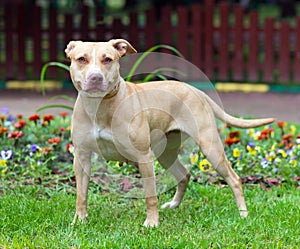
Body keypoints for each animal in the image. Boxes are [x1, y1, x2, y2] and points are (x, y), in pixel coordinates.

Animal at [65, 38, 274, 227]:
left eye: (107, 59)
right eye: (81, 59)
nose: (95, 77)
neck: (100, 106)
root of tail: (196, 90)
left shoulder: (143, 157)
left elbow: (150, 196)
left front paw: (152, 222)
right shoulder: (81, 157)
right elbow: (81, 194)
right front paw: (79, 220)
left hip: (210, 147)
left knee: (234, 179)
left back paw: (243, 214)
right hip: (165, 153)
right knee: (184, 175)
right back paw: (174, 204)